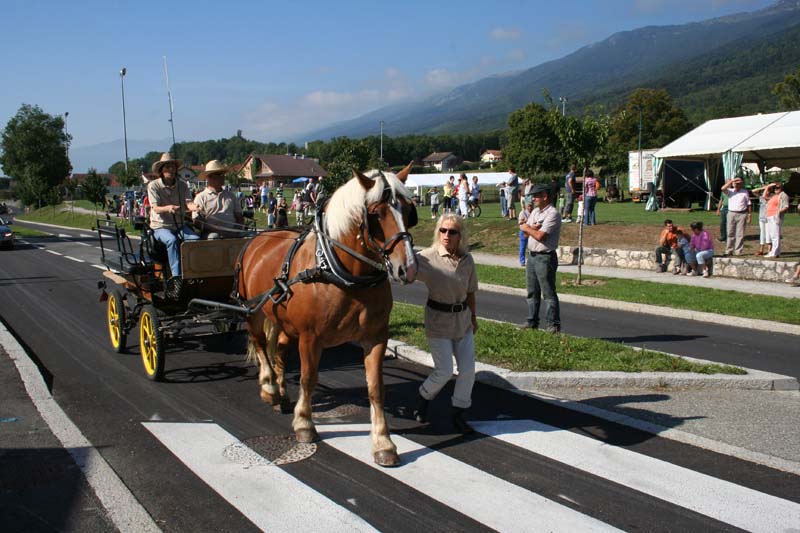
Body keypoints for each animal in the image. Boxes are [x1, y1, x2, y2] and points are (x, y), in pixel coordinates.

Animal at [238, 163, 418, 466]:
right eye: (375, 214)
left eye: (408, 210)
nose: (409, 268)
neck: (340, 273)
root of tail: (259, 237)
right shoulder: (311, 338)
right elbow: (308, 379)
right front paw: (304, 424)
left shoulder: (376, 337)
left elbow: (375, 388)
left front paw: (383, 443)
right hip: (252, 311)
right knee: (261, 345)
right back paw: (269, 388)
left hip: (283, 321)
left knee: (280, 350)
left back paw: (281, 393)